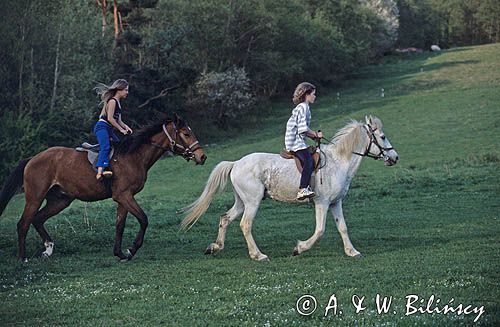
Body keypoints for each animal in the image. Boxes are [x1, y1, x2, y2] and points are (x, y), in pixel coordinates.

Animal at [0, 114, 207, 262]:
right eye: (186, 134)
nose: (202, 157)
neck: (134, 156)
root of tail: (32, 159)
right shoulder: (124, 196)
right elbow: (143, 219)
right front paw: (131, 249)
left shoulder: (123, 199)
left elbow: (120, 225)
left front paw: (120, 253)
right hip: (35, 198)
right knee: (23, 223)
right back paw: (23, 258)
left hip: (60, 200)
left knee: (38, 219)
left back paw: (48, 250)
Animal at [183, 115, 398, 262]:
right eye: (382, 137)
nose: (395, 157)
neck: (338, 162)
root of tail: (236, 163)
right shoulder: (322, 203)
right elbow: (320, 230)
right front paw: (299, 248)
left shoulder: (336, 203)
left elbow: (342, 227)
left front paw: (352, 252)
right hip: (252, 202)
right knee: (245, 224)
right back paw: (258, 255)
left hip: (242, 201)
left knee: (225, 218)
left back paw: (215, 247)